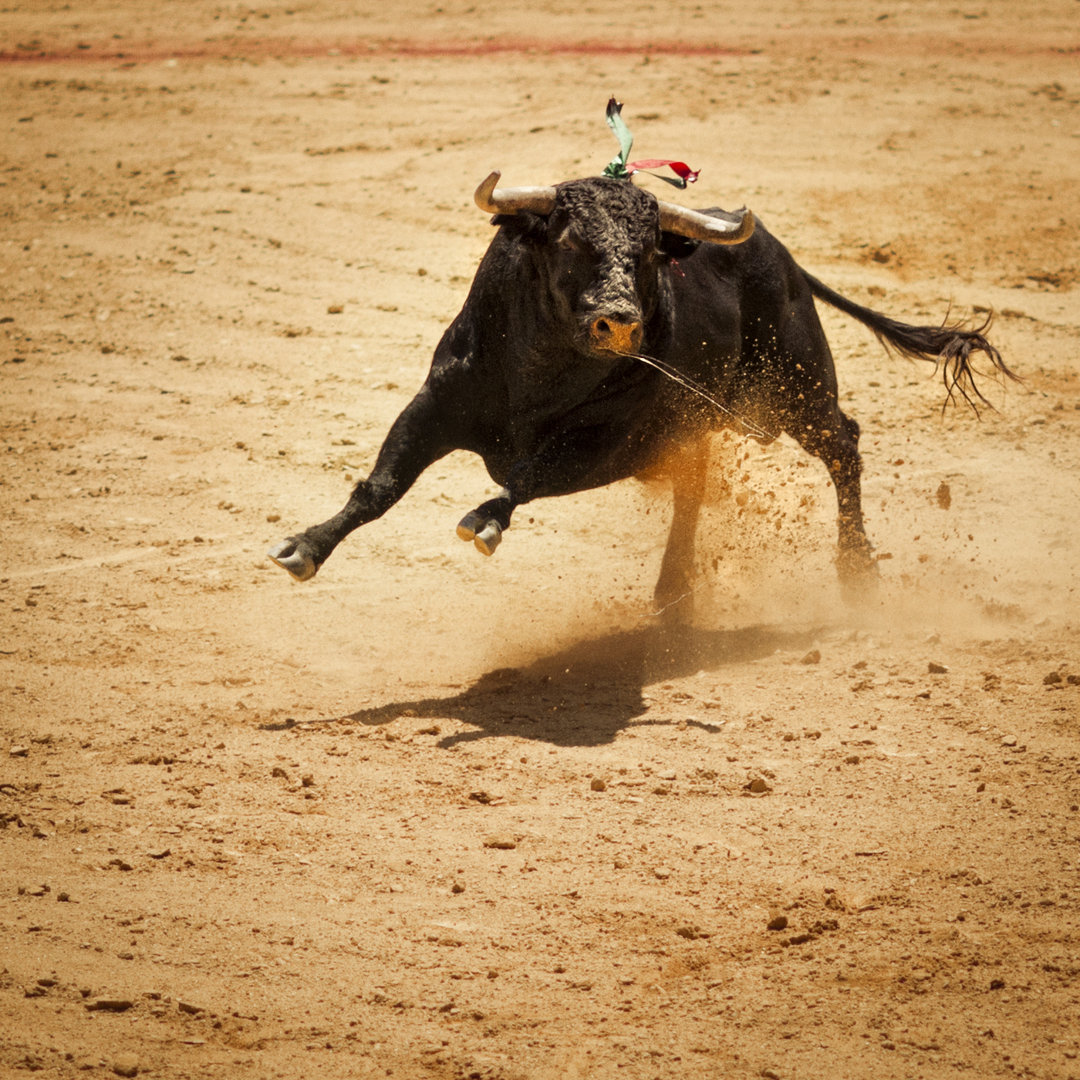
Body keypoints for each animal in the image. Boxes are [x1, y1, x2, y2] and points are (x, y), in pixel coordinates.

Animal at [265, 177, 1006, 617]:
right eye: (568, 240)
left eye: (649, 251)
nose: (619, 321)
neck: (542, 372)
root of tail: (785, 257)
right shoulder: (436, 402)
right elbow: (380, 485)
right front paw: (304, 547)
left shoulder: (606, 443)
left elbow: (527, 475)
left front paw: (484, 522)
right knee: (697, 486)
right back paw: (673, 592)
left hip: (794, 387)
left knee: (842, 445)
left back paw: (856, 572)